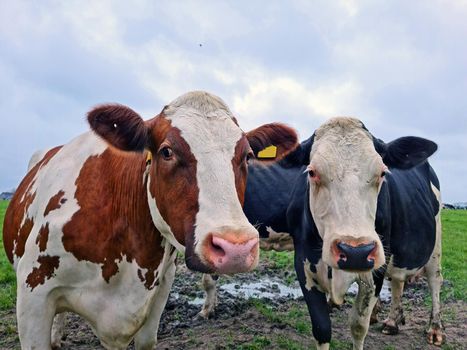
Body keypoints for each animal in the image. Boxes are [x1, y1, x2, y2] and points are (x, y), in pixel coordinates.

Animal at [201, 118, 442, 350]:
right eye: (312, 172)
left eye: (382, 173)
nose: (355, 252)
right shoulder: (305, 265)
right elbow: (322, 328)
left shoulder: (374, 271)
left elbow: (358, 326)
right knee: (398, 280)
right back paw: (391, 321)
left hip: (434, 242)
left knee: (434, 280)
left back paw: (434, 329)